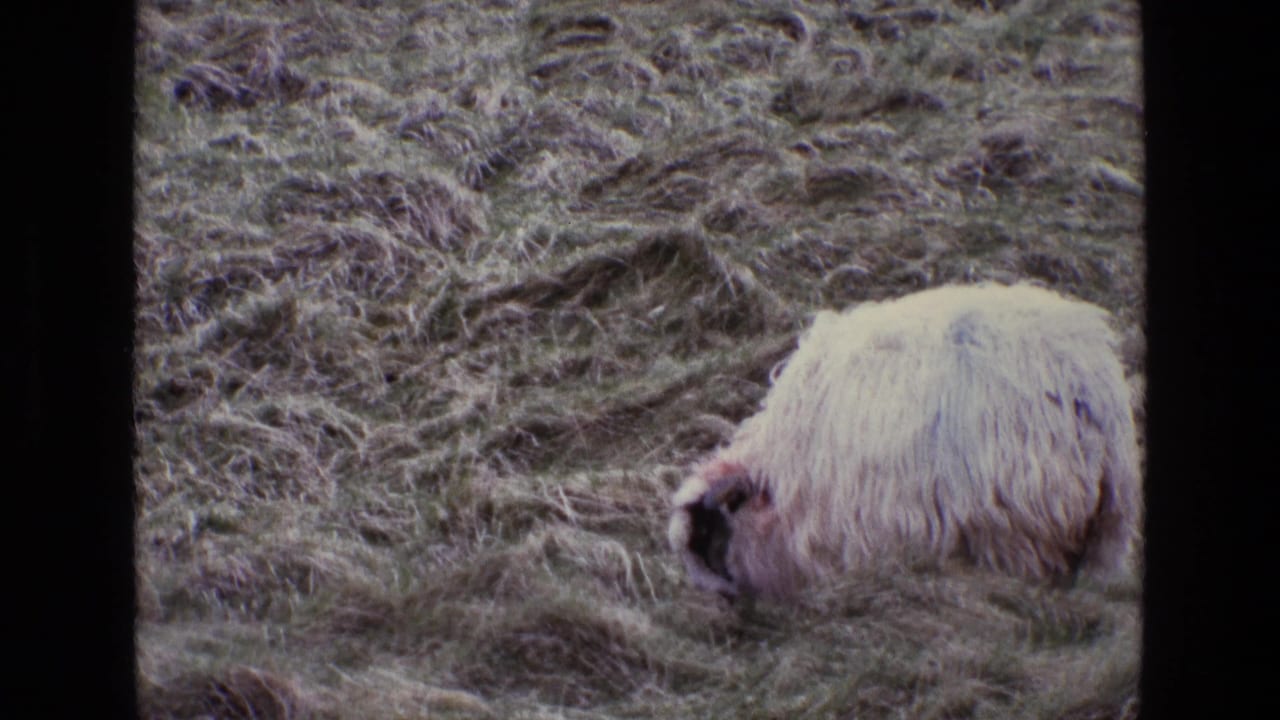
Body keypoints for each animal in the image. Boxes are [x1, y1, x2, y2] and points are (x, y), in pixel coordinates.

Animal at [668, 283, 1142, 600]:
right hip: (1109, 526)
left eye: (716, 537)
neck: (780, 473)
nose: (732, 604)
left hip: (1017, 520)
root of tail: (1081, 386)